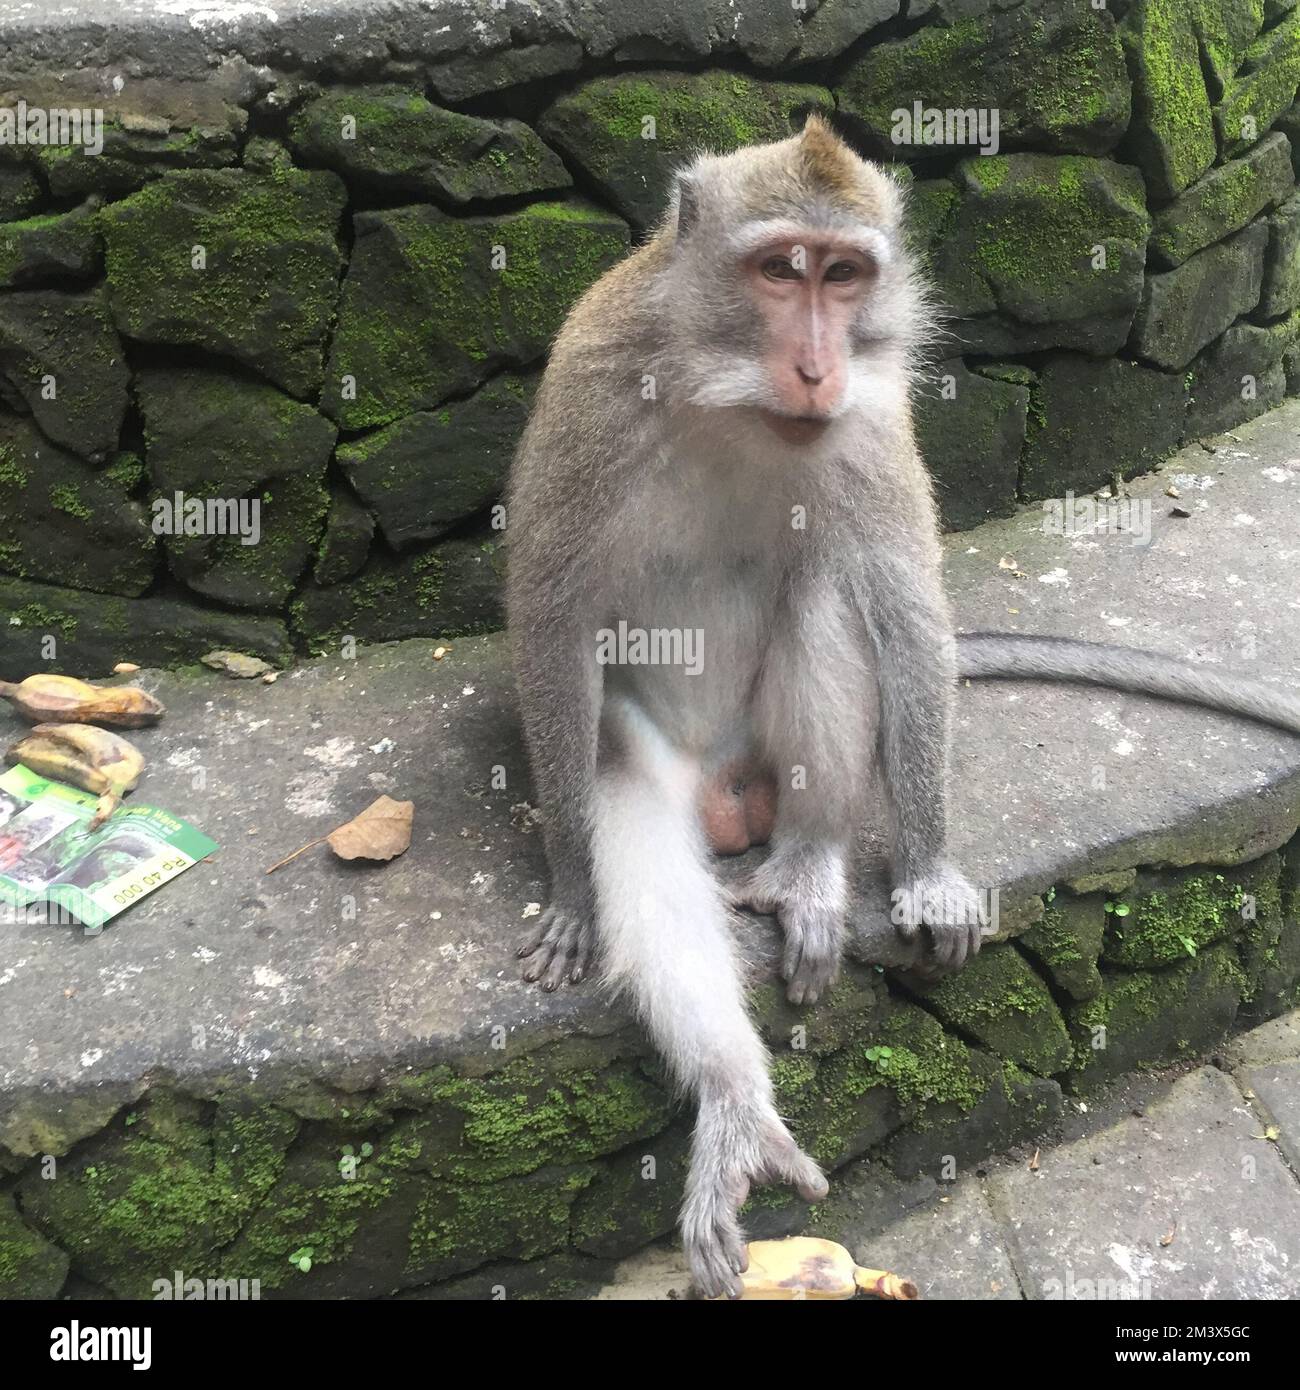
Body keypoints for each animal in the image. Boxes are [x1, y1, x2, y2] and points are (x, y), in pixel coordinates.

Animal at [505, 115, 1300, 1297]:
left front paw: (925, 868)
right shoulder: (594, 381)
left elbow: (903, 600)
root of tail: (728, 790)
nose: (816, 363)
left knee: (828, 592)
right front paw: (566, 890)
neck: (728, 397)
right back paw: (734, 1100)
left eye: (844, 276)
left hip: (768, 750)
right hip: (653, 755)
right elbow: (552, 617)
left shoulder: (874, 411)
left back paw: (811, 861)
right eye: (779, 270)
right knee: (641, 834)